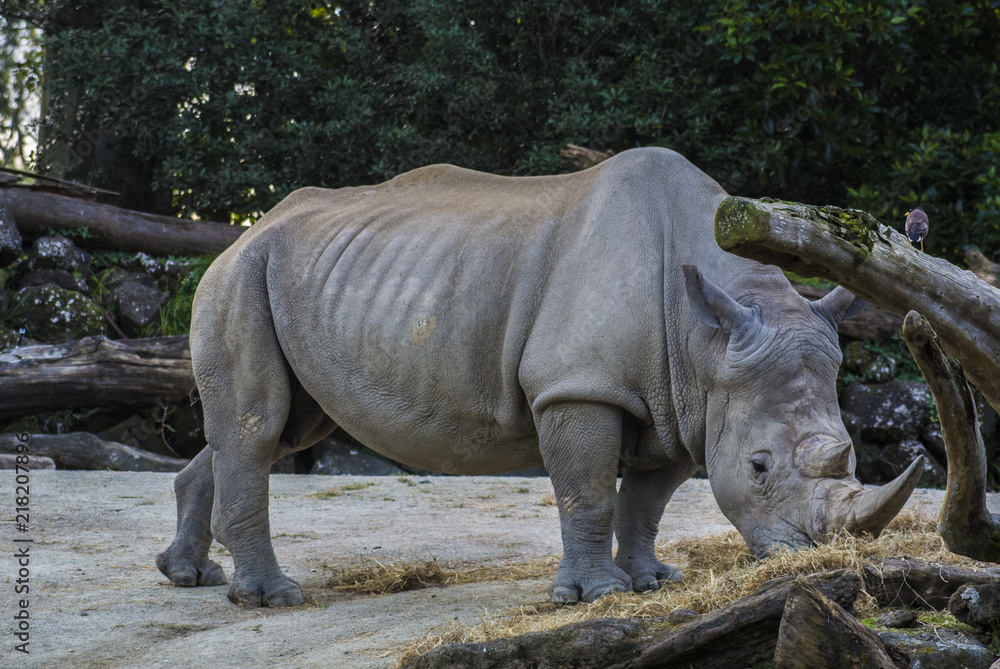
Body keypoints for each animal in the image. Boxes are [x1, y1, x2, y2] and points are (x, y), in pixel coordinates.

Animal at [156, 147, 923, 607]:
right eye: (760, 466)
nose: (819, 557)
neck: (707, 337)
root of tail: (246, 228)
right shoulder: (582, 386)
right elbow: (588, 491)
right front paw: (598, 595)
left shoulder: (685, 401)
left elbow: (647, 499)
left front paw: (650, 581)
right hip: (239, 276)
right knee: (258, 426)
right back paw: (270, 597)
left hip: (303, 277)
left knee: (279, 427)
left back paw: (189, 576)